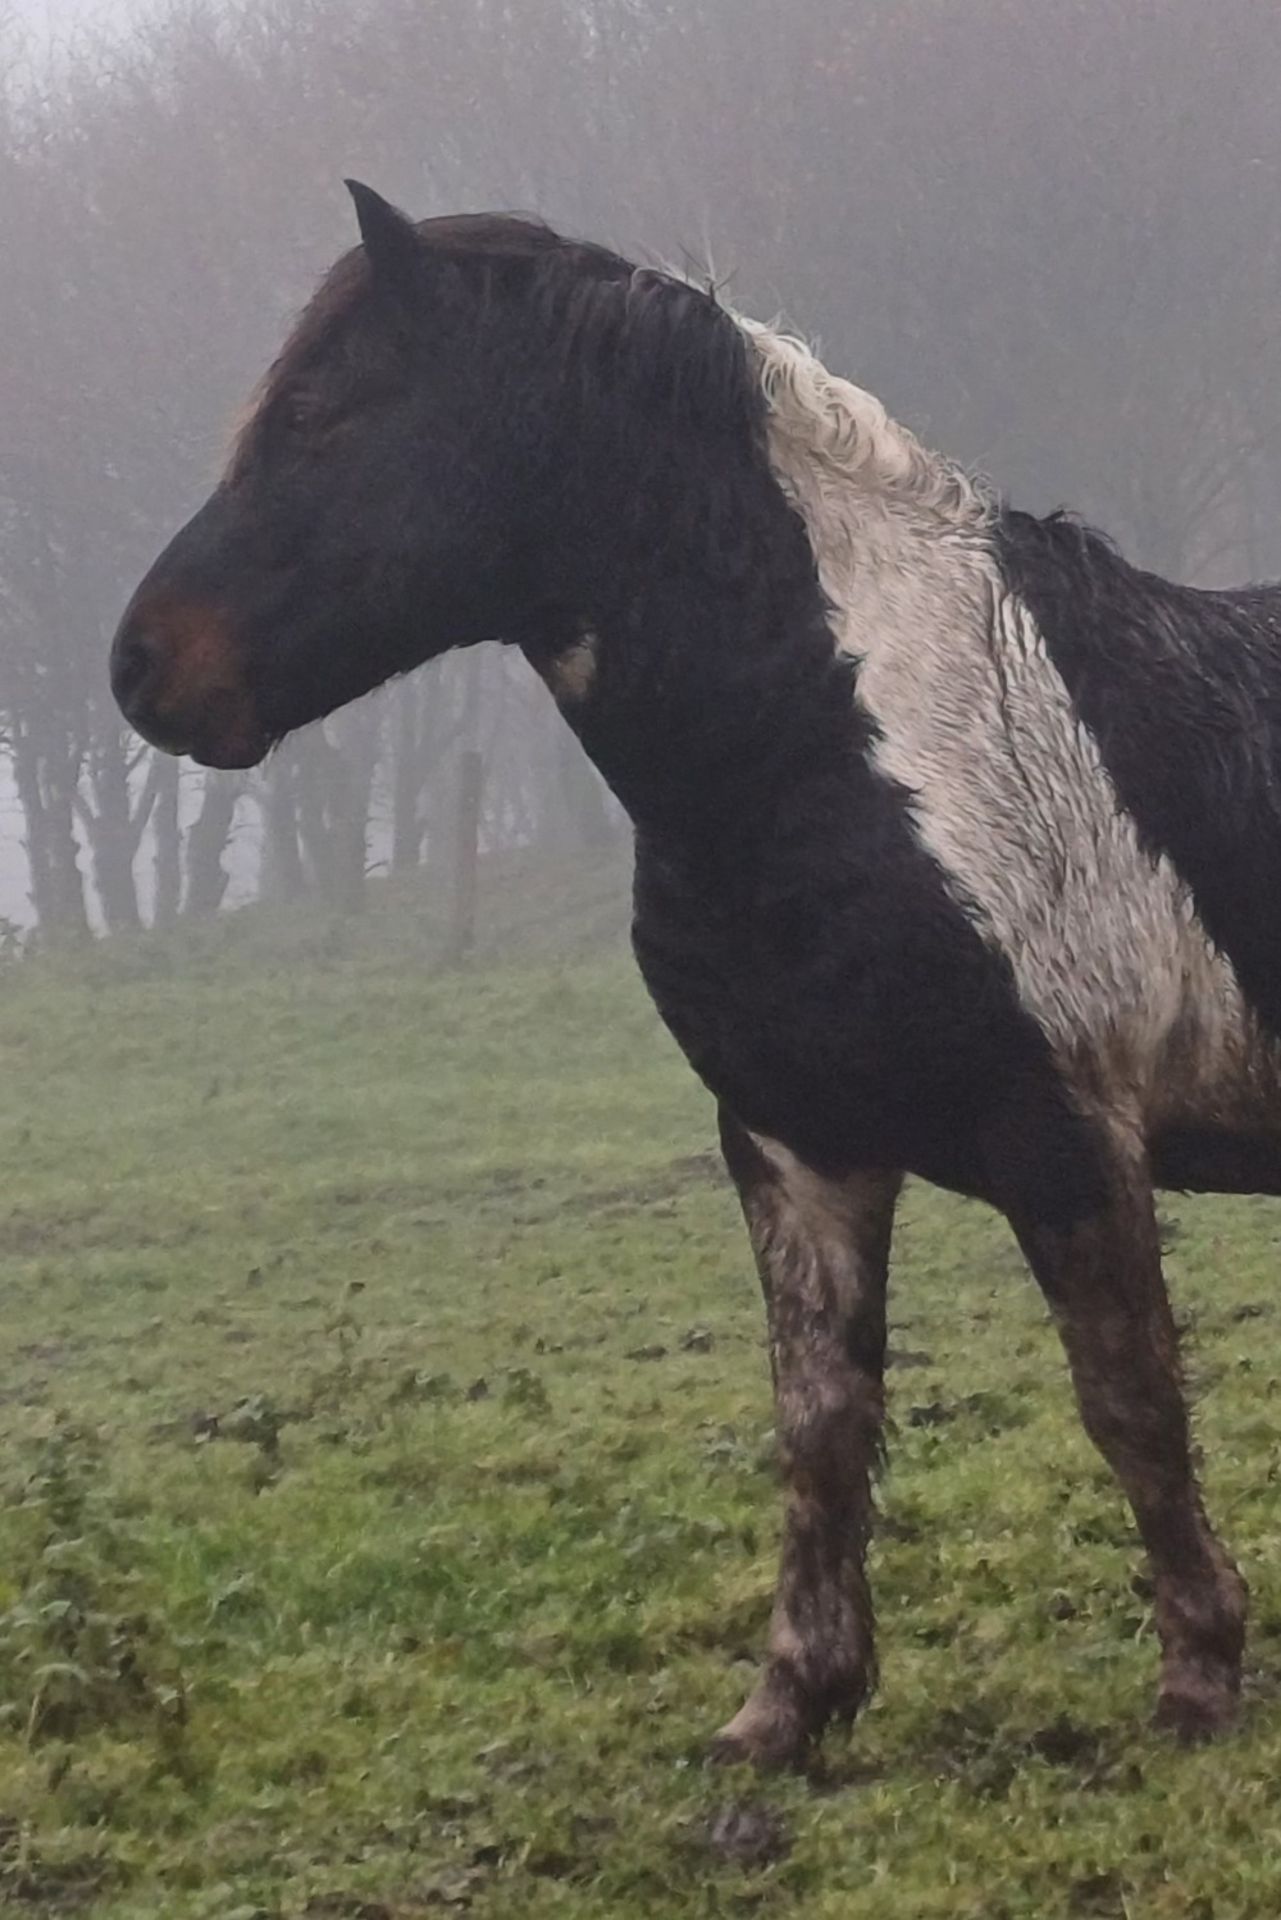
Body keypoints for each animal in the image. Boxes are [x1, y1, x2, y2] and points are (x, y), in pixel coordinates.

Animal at [110, 183, 1281, 1766]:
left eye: (319, 415)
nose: (141, 668)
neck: (847, 740)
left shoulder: (1068, 1136)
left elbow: (1129, 1402)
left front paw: (1199, 1681)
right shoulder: (795, 1144)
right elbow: (820, 1425)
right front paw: (791, 1703)